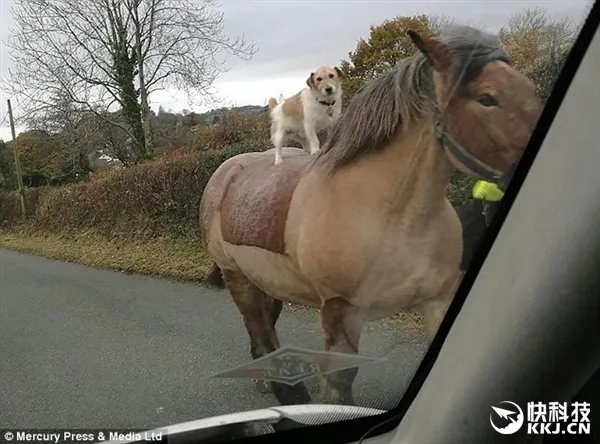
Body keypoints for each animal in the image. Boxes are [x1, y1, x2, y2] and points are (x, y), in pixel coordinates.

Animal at [199, 24, 540, 406]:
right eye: (487, 98)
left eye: (526, 85)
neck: (388, 215)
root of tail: (227, 171)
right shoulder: (341, 311)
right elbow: (339, 383)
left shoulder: (438, 300)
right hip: (237, 278)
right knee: (259, 328)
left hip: (265, 282)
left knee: (264, 328)